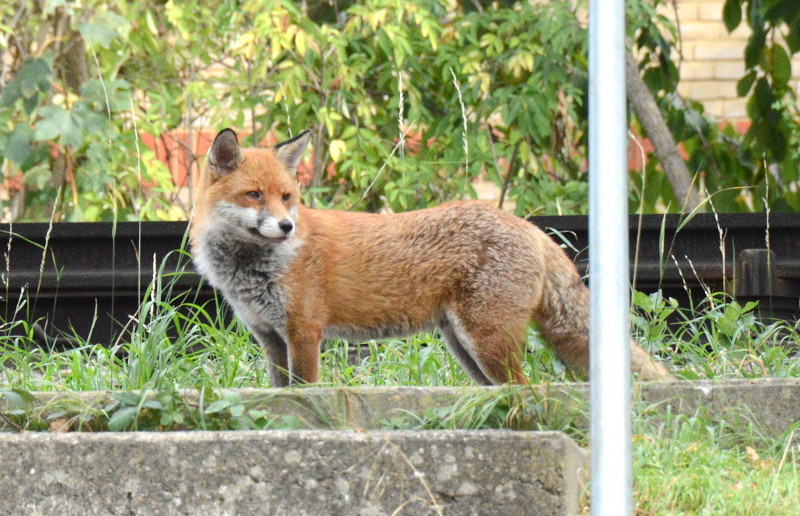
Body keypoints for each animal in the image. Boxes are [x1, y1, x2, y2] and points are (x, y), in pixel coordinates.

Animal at [190, 128, 672, 386]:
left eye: (286, 197)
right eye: (254, 195)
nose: (286, 226)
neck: (256, 271)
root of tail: (528, 226)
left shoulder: (305, 332)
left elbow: (305, 392)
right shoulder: (270, 337)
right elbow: (280, 392)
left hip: (486, 341)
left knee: (525, 388)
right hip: (466, 349)